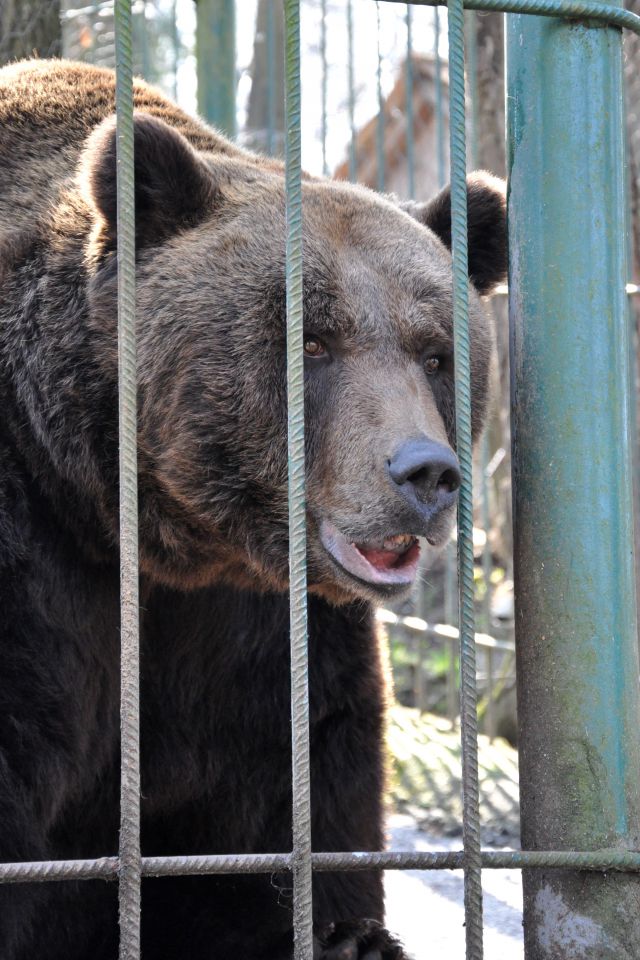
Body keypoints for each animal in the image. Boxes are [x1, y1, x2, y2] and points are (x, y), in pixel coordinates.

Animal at [0, 58, 504, 960]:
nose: (426, 473)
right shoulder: (38, 570)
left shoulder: (266, 637)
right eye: (313, 340)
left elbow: (290, 814)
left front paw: (352, 936)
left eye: (436, 353)